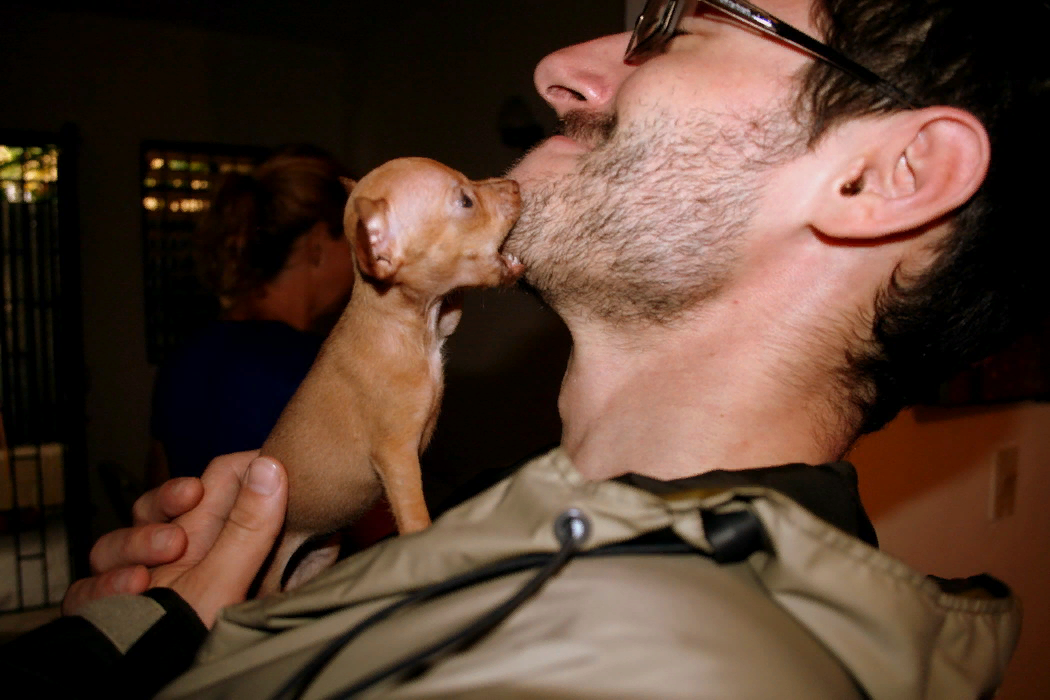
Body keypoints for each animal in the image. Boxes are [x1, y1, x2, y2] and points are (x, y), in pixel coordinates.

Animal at [258, 156, 520, 596]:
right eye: (466, 201)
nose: (516, 185)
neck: (400, 324)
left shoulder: (444, 323)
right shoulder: (397, 457)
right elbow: (414, 516)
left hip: (319, 553)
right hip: (272, 567)